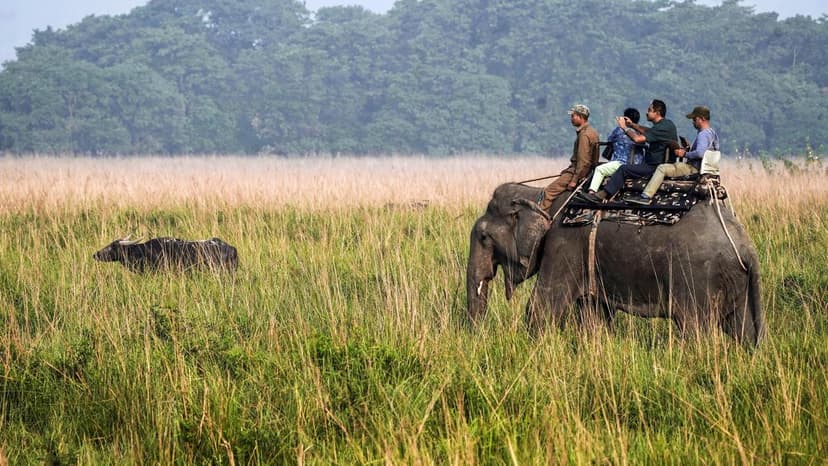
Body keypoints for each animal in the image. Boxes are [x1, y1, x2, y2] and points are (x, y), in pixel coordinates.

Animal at [466, 182, 764, 346]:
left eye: (483, 236)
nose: (477, 338)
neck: (540, 193)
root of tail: (747, 247)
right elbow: (595, 315)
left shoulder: (563, 243)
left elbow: (542, 307)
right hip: (737, 282)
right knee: (744, 330)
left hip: (698, 278)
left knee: (694, 330)